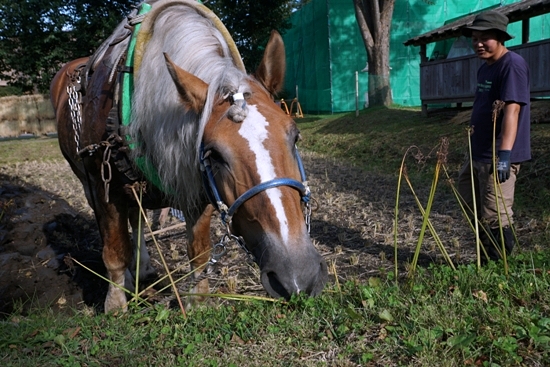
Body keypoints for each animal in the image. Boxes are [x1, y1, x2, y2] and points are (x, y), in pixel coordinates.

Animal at [48, 0, 328, 314]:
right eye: (214, 154)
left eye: (294, 136)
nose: (298, 274)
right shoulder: (104, 185)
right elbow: (115, 250)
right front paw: (116, 303)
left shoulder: (200, 188)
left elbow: (199, 252)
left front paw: (198, 299)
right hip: (88, 183)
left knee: (138, 218)